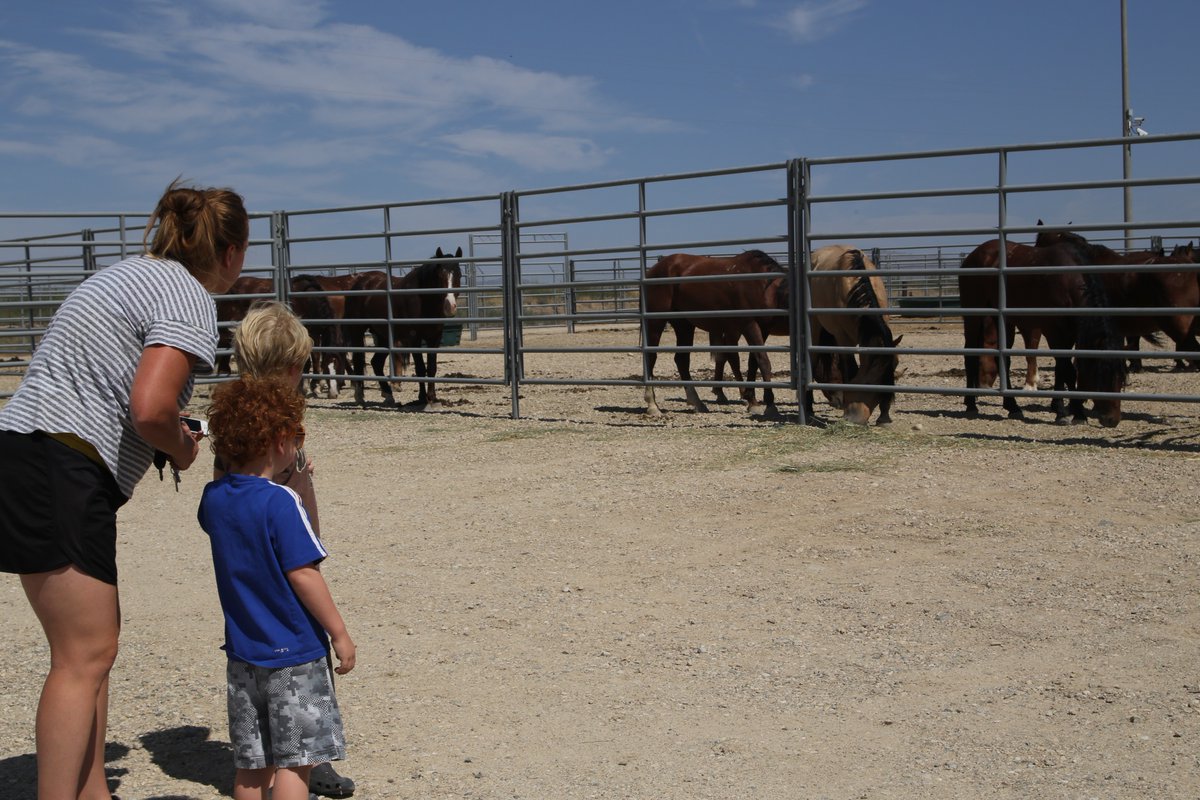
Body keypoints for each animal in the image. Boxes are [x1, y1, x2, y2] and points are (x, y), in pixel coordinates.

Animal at [348, 245, 463, 407]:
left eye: (459, 275)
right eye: (440, 276)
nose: (450, 307)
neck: (423, 300)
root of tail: (361, 282)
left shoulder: (434, 338)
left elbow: (432, 367)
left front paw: (432, 397)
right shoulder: (414, 338)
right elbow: (420, 368)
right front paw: (422, 398)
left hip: (383, 336)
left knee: (376, 363)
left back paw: (388, 395)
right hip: (357, 331)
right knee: (359, 361)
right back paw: (359, 396)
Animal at [643, 250, 782, 417]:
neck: (764, 286)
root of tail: (654, 270)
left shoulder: (761, 328)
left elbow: (753, 361)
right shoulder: (750, 325)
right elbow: (763, 361)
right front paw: (768, 405)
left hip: (684, 324)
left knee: (682, 360)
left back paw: (697, 402)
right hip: (655, 322)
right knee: (651, 357)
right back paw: (653, 405)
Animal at [955, 236, 1123, 424]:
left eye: (1122, 379)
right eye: (1102, 375)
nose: (1112, 420)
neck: (1067, 280)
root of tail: (973, 256)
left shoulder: (1070, 333)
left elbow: (1061, 369)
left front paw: (1062, 408)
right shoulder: (1053, 330)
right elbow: (1067, 370)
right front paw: (1073, 413)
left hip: (1003, 319)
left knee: (1003, 359)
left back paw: (1013, 407)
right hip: (974, 315)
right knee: (970, 354)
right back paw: (971, 404)